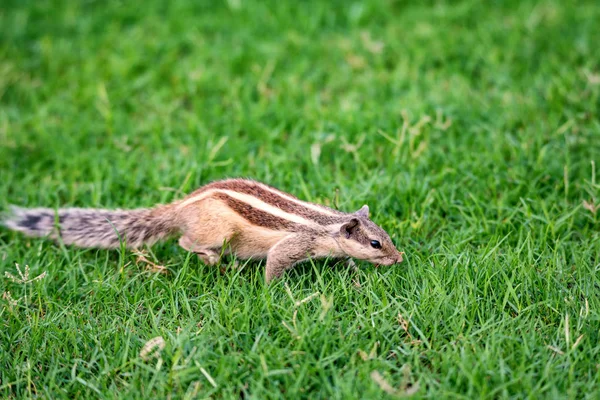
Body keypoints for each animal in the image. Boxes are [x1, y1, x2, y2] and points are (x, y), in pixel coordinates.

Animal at [2, 178, 404, 282]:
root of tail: (179, 208)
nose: (399, 258)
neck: (327, 226)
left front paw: (352, 272)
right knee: (184, 241)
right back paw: (214, 261)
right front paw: (275, 291)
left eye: (386, 237)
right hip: (216, 232)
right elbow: (276, 262)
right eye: (375, 243)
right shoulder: (296, 243)